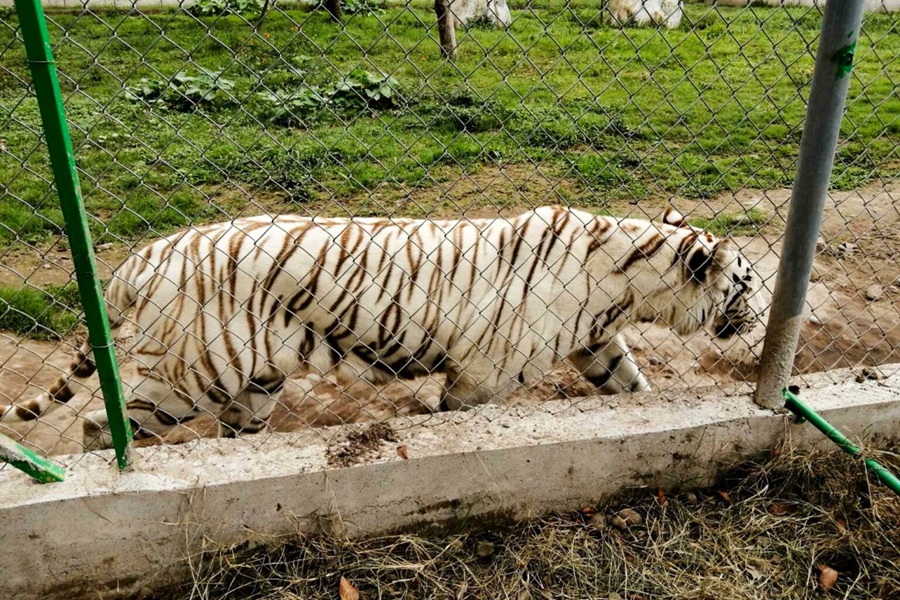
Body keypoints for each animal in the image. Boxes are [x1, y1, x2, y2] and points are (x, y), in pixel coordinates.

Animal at [0, 206, 760, 450]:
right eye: (748, 283)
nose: (760, 316)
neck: (628, 283)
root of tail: (145, 254)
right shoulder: (483, 374)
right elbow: (458, 416)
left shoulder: (596, 341)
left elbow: (630, 387)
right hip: (192, 373)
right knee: (100, 424)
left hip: (255, 381)